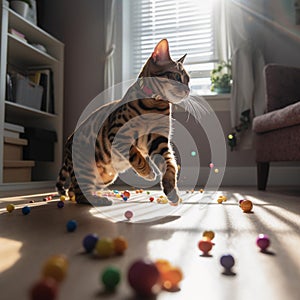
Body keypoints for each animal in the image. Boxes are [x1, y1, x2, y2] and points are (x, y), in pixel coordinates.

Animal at [55, 38, 190, 205]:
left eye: (188, 80)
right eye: (177, 77)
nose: (188, 90)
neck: (155, 105)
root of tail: (67, 144)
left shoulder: (159, 140)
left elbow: (170, 164)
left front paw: (171, 189)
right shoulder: (118, 134)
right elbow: (134, 154)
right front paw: (147, 172)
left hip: (106, 176)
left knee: (72, 190)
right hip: (85, 167)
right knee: (80, 193)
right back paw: (97, 200)